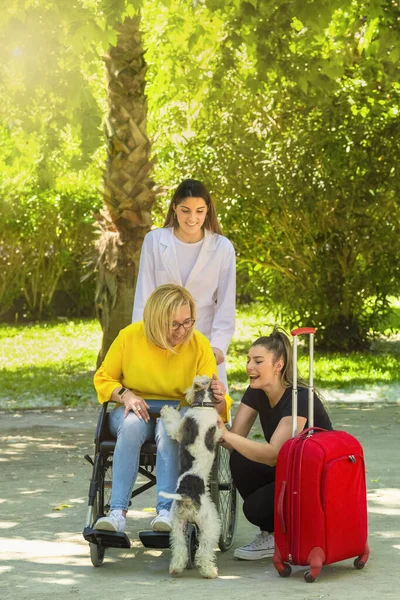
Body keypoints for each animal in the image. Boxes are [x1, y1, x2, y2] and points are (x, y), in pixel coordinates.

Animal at [159, 376, 222, 576]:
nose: (185, 393)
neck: (204, 405)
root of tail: (185, 495)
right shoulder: (180, 429)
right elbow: (173, 423)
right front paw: (167, 409)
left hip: (177, 525)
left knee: (179, 548)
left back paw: (175, 568)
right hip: (209, 523)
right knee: (203, 550)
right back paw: (210, 572)